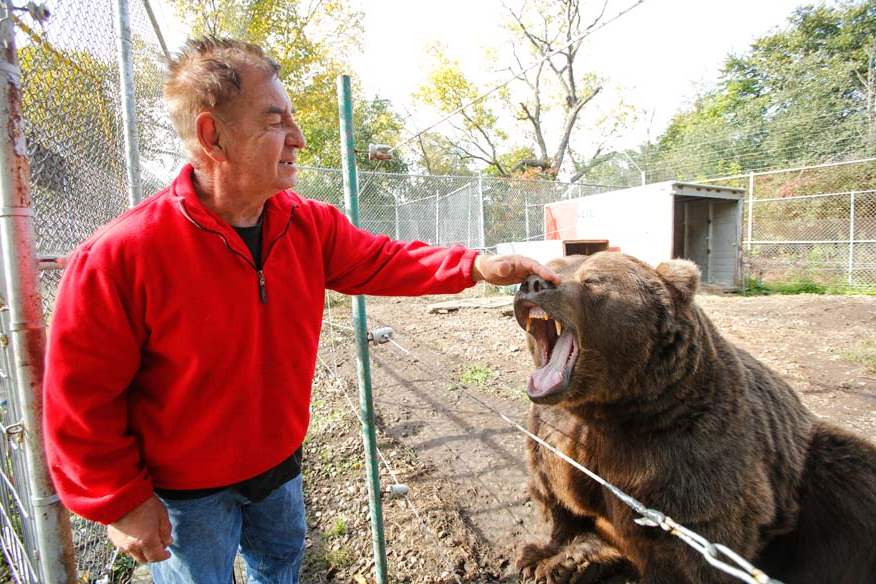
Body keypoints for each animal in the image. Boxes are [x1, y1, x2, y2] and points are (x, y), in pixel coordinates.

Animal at [512, 252, 876, 584]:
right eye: (551, 266)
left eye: (593, 280)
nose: (533, 283)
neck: (609, 408)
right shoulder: (556, 434)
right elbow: (553, 494)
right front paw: (541, 557)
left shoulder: (686, 451)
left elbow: (695, 545)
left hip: (810, 465)